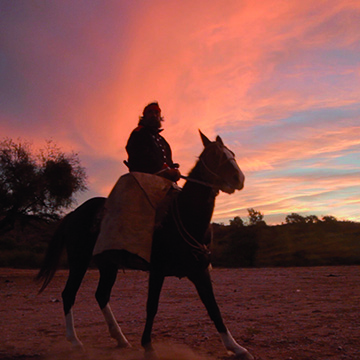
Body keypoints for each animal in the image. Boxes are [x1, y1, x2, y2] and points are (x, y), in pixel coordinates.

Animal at [37, 132, 253, 360]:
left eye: (232, 153)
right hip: (79, 261)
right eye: (214, 155)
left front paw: (236, 347)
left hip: (108, 265)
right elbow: (152, 306)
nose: (239, 178)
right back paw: (75, 342)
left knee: (101, 295)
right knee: (68, 294)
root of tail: (73, 214)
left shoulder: (199, 271)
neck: (183, 216)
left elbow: (213, 307)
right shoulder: (157, 270)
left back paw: (120, 339)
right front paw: (148, 346)